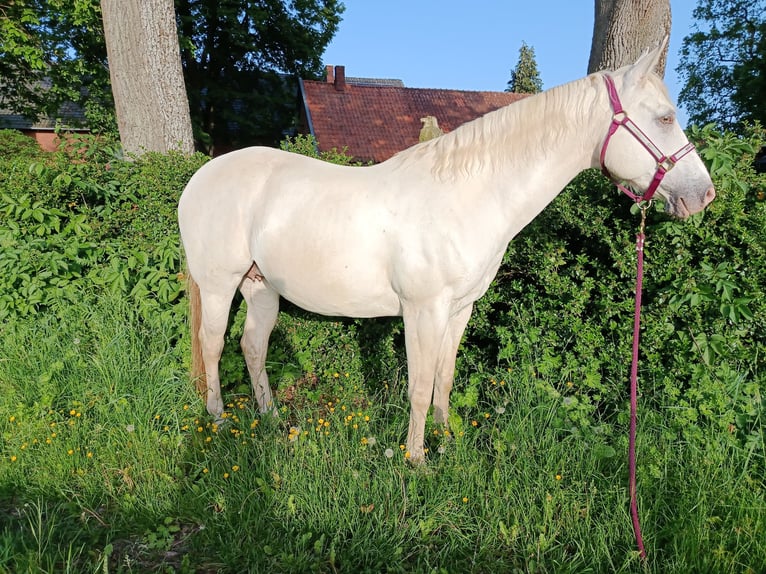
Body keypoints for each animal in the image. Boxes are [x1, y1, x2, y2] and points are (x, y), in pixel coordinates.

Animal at [178, 44, 715, 463]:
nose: (703, 195)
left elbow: (444, 377)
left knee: (252, 346)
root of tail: (199, 179)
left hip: (261, 287)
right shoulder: (423, 310)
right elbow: (418, 384)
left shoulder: (459, 309)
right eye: (665, 118)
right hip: (221, 285)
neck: (466, 195)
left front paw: (446, 440)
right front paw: (416, 461)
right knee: (214, 346)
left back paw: (270, 419)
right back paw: (219, 421)